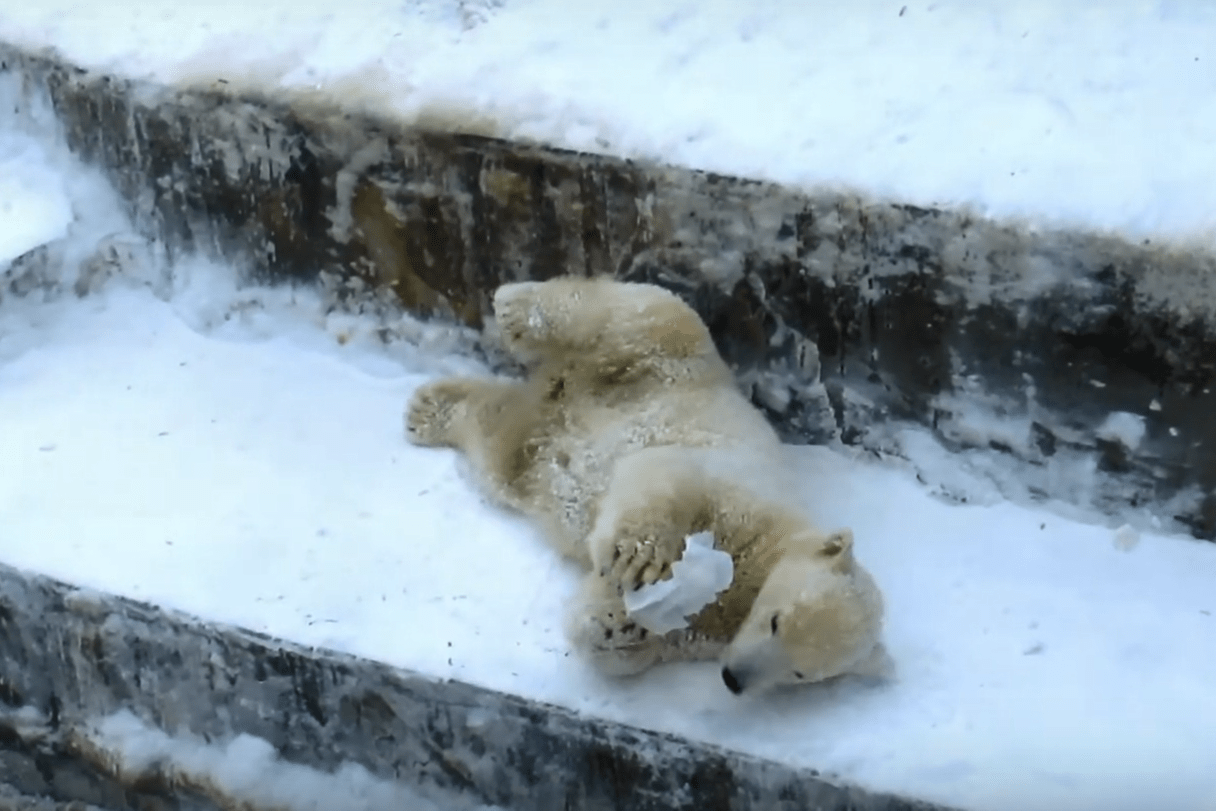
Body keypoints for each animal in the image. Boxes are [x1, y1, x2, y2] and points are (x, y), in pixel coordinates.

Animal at [408, 277, 885, 690]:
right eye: (776, 621)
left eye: (800, 672)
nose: (734, 679)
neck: (759, 561)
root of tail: (564, 389)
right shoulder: (743, 493)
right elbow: (672, 477)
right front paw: (636, 559)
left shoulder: (708, 630)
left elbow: (643, 636)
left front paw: (617, 623)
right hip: (669, 363)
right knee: (637, 313)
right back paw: (515, 306)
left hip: (535, 448)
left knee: (503, 440)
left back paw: (432, 410)